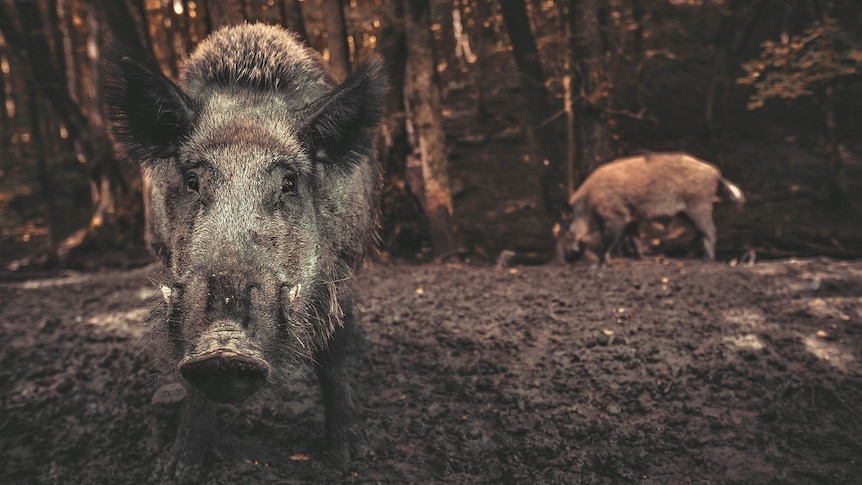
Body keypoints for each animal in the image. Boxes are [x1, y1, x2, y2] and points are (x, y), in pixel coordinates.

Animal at [104, 23, 384, 480]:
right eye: (193, 181)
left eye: (288, 182)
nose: (224, 348)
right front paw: (175, 469)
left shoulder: (342, 259)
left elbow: (334, 349)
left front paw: (348, 458)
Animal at [556, 152, 744, 262]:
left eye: (566, 226)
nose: (567, 258)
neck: (590, 202)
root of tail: (716, 172)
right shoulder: (630, 218)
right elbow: (634, 238)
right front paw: (640, 258)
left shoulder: (616, 216)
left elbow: (609, 238)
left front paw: (601, 263)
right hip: (687, 211)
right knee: (699, 232)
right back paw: (687, 257)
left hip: (699, 204)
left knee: (710, 231)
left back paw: (707, 260)